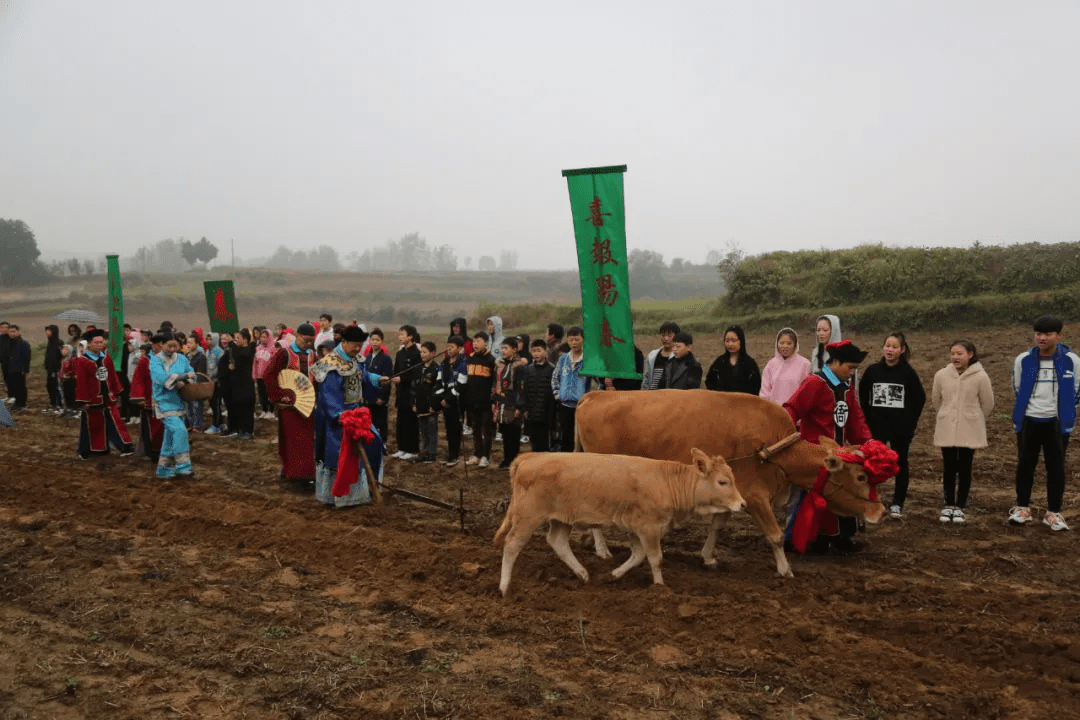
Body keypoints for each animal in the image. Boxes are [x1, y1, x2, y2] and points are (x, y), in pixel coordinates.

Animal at [494, 451, 743, 595]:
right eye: (723, 482)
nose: (742, 503)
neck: (668, 482)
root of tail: (528, 458)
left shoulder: (636, 529)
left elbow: (638, 555)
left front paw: (612, 576)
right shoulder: (649, 528)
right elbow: (655, 559)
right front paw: (660, 589)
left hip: (561, 518)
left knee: (558, 542)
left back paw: (582, 574)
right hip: (528, 516)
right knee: (512, 544)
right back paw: (504, 586)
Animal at [574, 390, 885, 578]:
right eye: (861, 476)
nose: (880, 512)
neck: (772, 449)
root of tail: (595, 394)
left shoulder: (731, 493)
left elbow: (717, 525)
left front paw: (708, 557)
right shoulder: (755, 496)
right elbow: (774, 535)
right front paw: (785, 569)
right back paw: (602, 550)